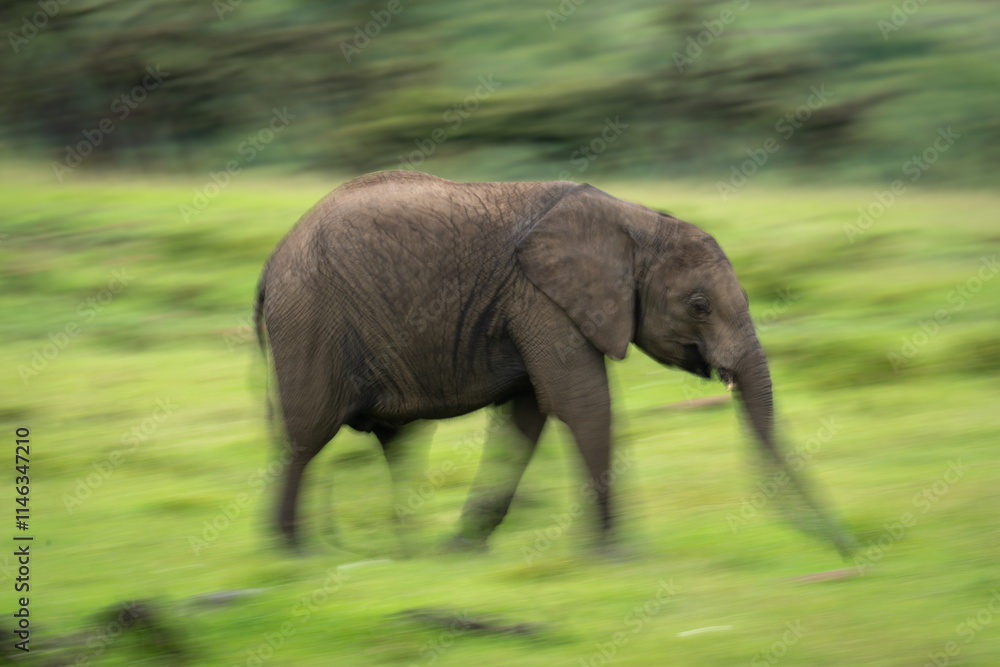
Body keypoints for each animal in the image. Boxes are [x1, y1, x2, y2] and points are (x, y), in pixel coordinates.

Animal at [253, 170, 853, 556]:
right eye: (700, 305)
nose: (845, 550)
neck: (635, 220)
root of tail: (271, 262)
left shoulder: (530, 307)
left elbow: (526, 419)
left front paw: (463, 549)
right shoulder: (540, 298)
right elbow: (583, 404)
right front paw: (616, 554)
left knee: (397, 443)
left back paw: (406, 547)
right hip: (310, 319)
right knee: (306, 435)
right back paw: (293, 555)